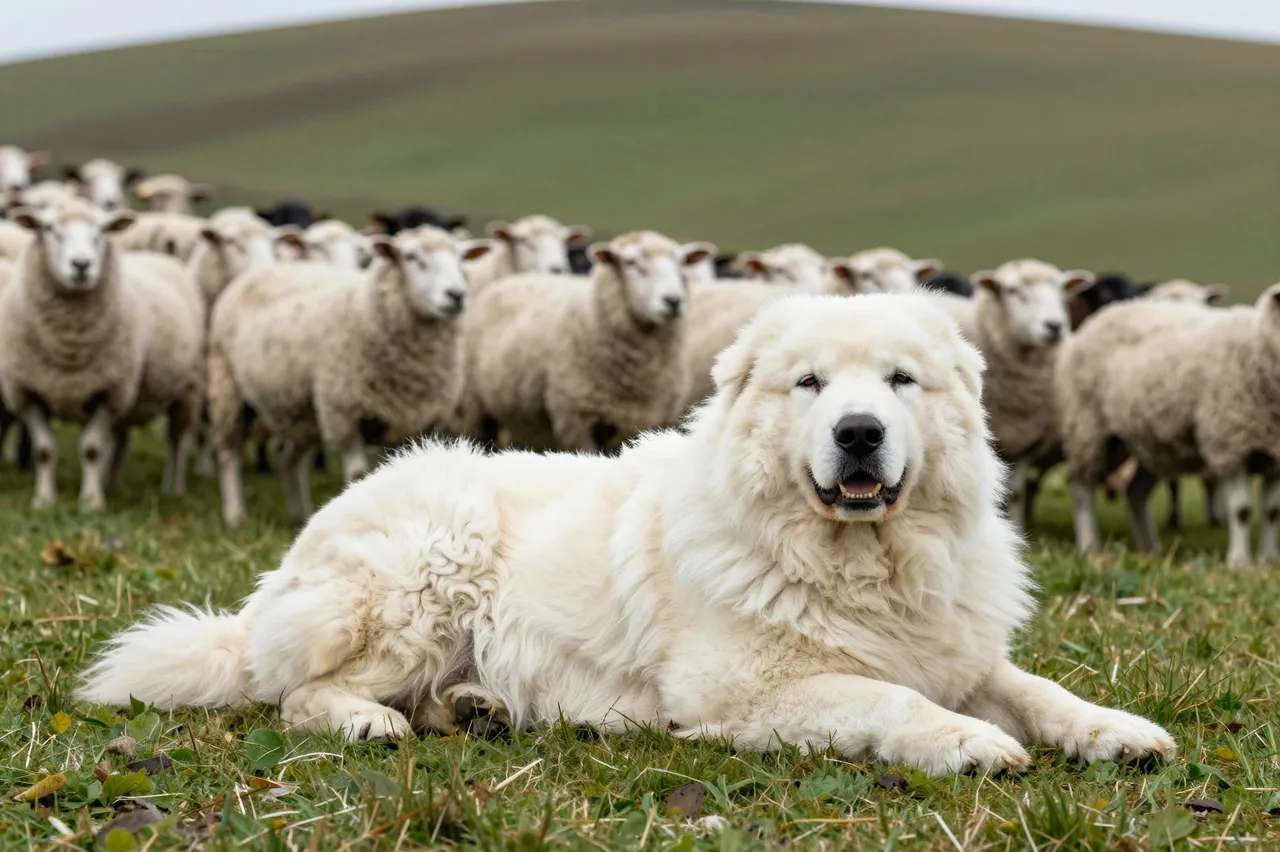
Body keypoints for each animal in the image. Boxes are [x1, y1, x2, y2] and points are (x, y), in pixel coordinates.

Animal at [0, 199, 204, 511]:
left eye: (103, 230)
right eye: (49, 228)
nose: (81, 265)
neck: (68, 345)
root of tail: (157, 256)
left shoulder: (110, 392)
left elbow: (92, 449)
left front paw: (91, 502)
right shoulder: (27, 393)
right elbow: (44, 450)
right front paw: (44, 500)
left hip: (186, 389)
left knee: (177, 441)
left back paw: (173, 489)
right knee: (121, 438)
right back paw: (111, 482)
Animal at [207, 226, 491, 527]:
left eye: (461, 259)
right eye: (412, 257)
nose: (456, 295)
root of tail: (262, 271)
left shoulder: (422, 422)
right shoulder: (345, 414)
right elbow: (358, 475)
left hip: (301, 409)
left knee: (288, 458)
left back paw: (300, 515)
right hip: (228, 386)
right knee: (229, 453)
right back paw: (235, 516)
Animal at [461, 232, 712, 454]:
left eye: (682, 264)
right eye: (631, 262)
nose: (673, 301)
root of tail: (513, 278)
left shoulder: (648, 421)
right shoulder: (577, 422)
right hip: (477, 411)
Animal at [1057, 285, 1280, 566]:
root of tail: (1110, 311)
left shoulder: (1274, 455)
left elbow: (1272, 512)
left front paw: (1268, 560)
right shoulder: (1229, 445)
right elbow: (1242, 510)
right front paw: (1239, 562)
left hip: (1147, 440)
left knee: (1135, 492)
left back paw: (1150, 549)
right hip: (1089, 427)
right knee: (1080, 487)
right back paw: (1089, 546)